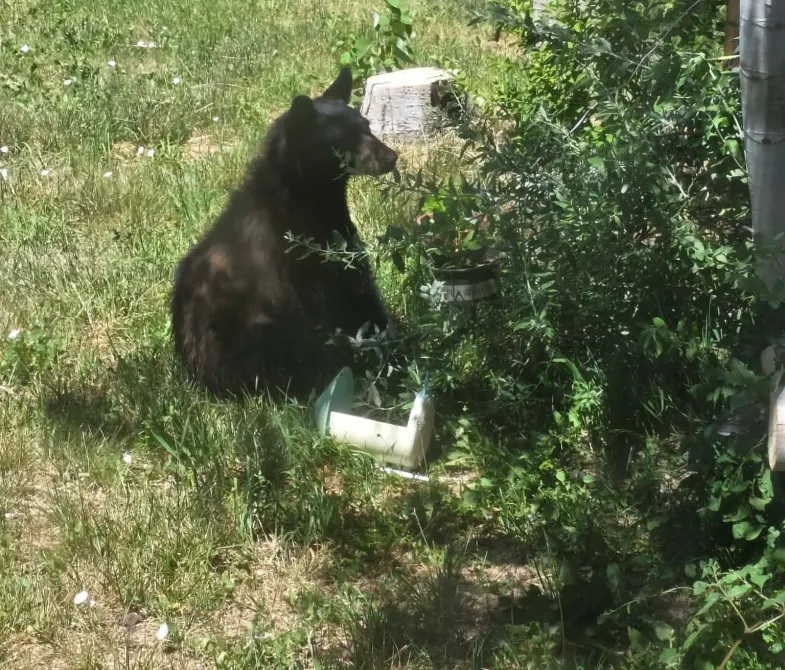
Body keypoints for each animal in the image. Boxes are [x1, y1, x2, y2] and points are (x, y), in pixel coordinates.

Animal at [170, 67, 399, 400]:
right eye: (346, 138)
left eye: (367, 127)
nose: (391, 157)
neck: (309, 200)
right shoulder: (304, 264)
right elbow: (346, 300)